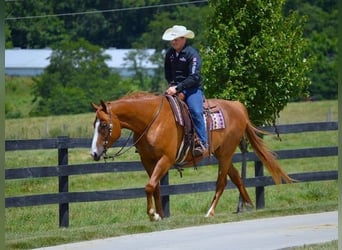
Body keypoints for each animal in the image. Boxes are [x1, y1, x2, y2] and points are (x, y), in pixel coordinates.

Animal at [90, 92, 292, 221]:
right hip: (221, 153)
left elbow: (149, 186)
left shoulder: (166, 159)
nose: (94, 153)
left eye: (103, 125)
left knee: (222, 182)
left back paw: (210, 212)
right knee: (235, 177)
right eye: (94, 124)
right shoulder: (147, 161)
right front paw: (160, 215)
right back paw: (248, 205)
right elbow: (155, 187)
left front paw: (153, 214)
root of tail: (237, 106)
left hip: (226, 153)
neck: (152, 120)